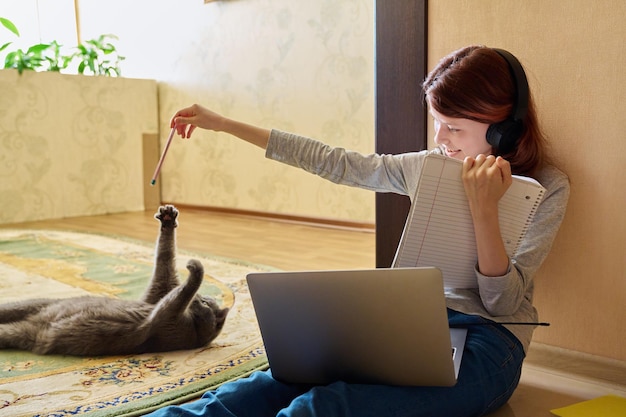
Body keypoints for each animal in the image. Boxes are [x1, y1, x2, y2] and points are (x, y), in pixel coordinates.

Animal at [0, 205, 228, 354]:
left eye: (205, 302)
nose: (200, 298)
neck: (194, 329)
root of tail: (36, 321)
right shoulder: (158, 294)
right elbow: (165, 256)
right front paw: (168, 218)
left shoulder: (166, 319)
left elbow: (182, 291)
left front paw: (195, 266)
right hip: (33, 305)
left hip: (21, 331)